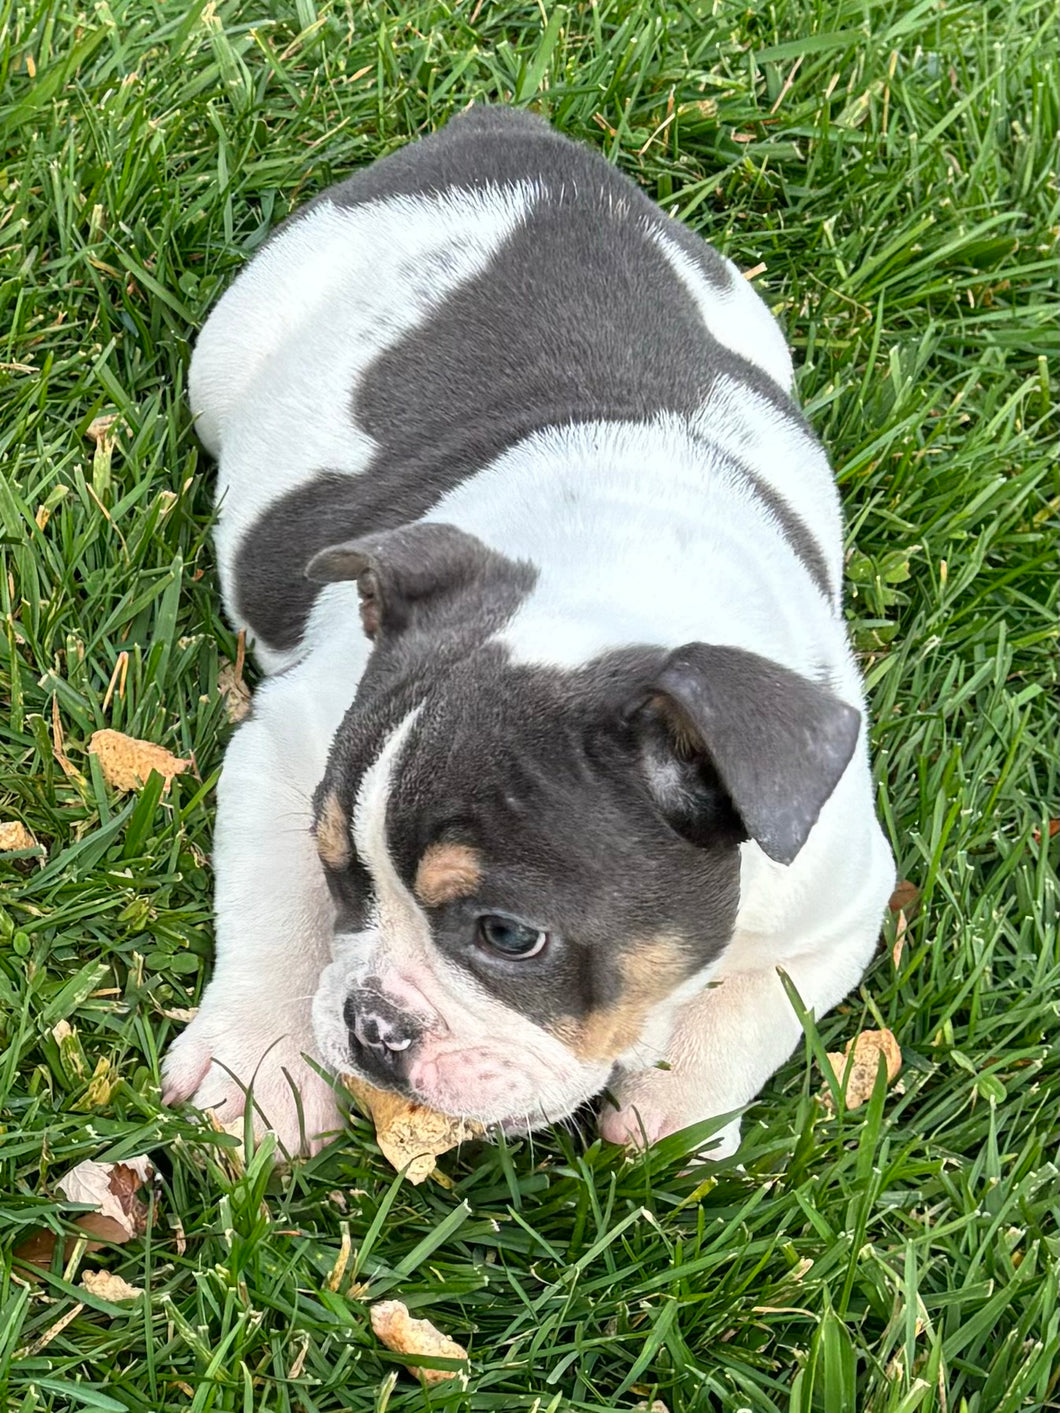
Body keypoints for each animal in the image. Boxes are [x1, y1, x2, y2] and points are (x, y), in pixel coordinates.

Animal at [161, 104, 898, 1153]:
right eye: (339, 871)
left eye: (508, 935)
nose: (373, 1024)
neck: (621, 581)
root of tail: (516, 134)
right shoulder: (286, 745)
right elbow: (274, 914)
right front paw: (262, 1069)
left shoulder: (838, 896)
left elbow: (756, 1005)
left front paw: (678, 1110)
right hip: (229, 353)